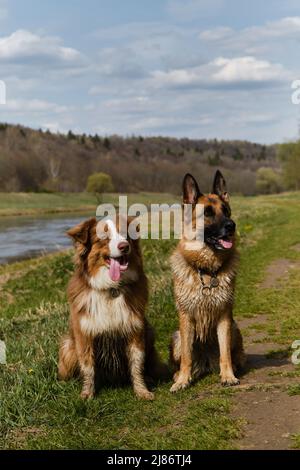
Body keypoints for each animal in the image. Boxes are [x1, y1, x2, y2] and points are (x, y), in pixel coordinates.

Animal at [58, 215, 164, 398]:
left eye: (125, 235)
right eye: (104, 237)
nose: (124, 246)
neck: (111, 289)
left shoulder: (134, 329)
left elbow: (137, 365)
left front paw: (142, 391)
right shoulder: (84, 334)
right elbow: (87, 367)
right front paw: (87, 394)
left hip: (149, 333)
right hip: (67, 346)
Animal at [170, 171, 245, 392]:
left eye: (226, 211)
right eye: (208, 213)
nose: (231, 226)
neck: (207, 270)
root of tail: (205, 361)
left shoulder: (224, 317)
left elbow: (225, 353)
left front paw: (228, 376)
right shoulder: (186, 318)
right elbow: (186, 357)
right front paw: (183, 381)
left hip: (235, 330)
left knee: (233, 355)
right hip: (176, 336)